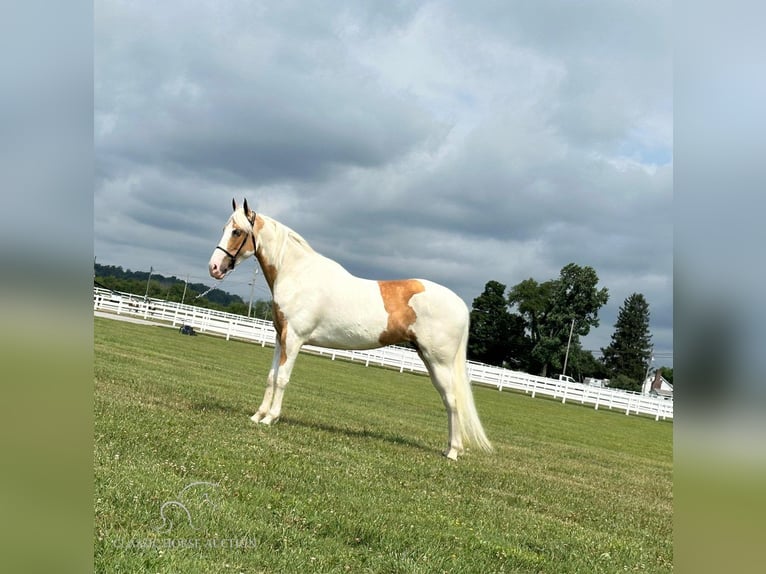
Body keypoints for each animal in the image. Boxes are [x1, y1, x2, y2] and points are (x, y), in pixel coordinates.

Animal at [207, 200, 496, 462]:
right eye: (224, 228)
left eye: (236, 232)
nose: (214, 268)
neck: (297, 274)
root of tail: (460, 304)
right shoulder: (281, 338)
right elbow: (270, 377)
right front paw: (258, 415)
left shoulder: (294, 339)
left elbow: (282, 379)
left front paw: (270, 418)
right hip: (428, 359)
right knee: (448, 401)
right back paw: (449, 449)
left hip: (439, 362)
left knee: (453, 401)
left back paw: (453, 452)